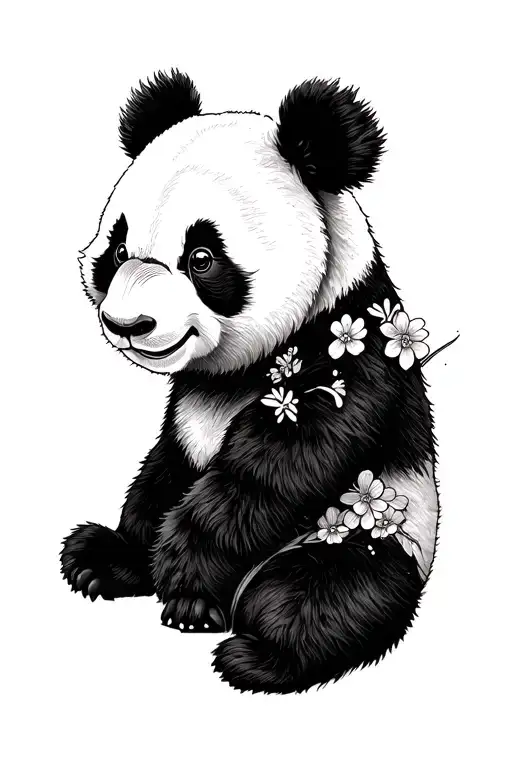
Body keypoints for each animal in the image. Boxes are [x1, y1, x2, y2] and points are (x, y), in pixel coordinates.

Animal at [61, 70, 439, 694]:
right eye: (117, 249)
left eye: (202, 256)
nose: (127, 324)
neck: (238, 368)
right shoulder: (188, 408)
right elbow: (166, 468)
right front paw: (124, 556)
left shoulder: (351, 349)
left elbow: (273, 472)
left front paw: (181, 573)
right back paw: (102, 559)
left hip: (373, 528)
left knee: (323, 594)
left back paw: (252, 649)